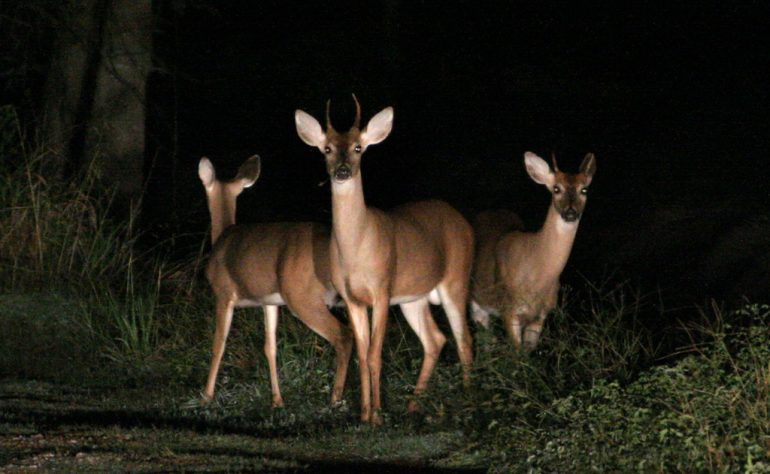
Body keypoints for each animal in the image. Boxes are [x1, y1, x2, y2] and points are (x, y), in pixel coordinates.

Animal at [198, 155, 352, 408]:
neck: (222, 236)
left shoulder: (223, 294)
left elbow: (218, 344)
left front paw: (207, 395)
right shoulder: (269, 302)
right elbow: (270, 347)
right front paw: (277, 399)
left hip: (302, 297)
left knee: (344, 336)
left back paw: (335, 398)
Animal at [295, 96, 474, 425]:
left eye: (358, 148)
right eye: (327, 149)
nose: (342, 171)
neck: (356, 248)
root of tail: (461, 220)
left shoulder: (381, 289)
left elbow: (375, 353)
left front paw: (377, 414)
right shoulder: (352, 298)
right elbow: (362, 352)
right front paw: (365, 414)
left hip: (456, 279)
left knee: (464, 340)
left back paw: (468, 399)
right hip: (413, 298)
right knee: (435, 340)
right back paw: (413, 405)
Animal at [471, 151, 596, 350]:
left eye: (584, 190)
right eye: (556, 189)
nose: (570, 212)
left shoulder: (540, 316)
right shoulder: (509, 311)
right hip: (475, 302)